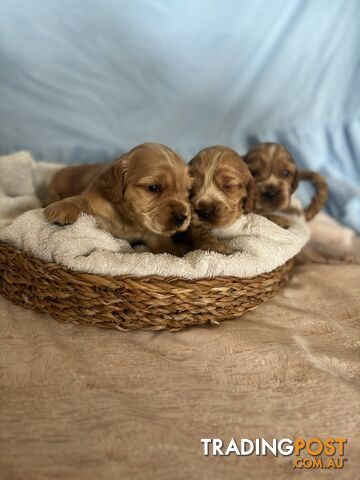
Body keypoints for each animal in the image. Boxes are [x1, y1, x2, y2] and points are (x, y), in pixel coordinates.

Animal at [44, 142, 193, 255]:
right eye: (154, 187)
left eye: (187, 190)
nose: (182, 217)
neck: (127, 219)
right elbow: (82, 200)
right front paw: (62, 208)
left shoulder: (153, 234)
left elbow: (166, 244)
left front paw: (177, 256)